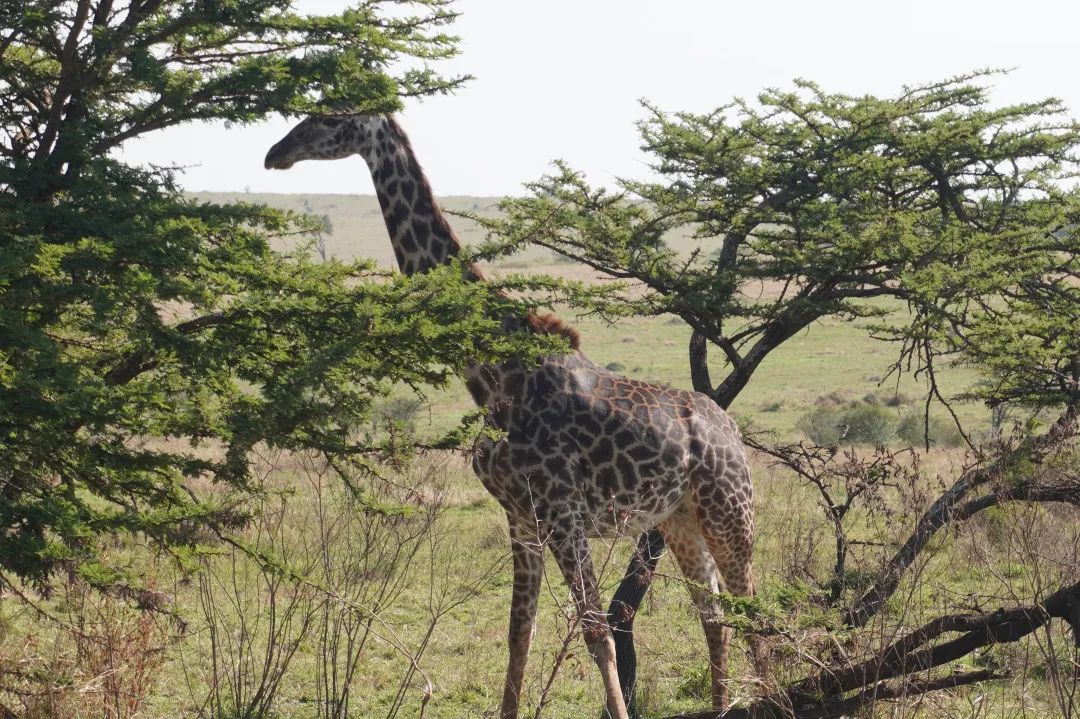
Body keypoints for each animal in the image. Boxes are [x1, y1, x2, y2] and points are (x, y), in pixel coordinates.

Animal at [264, 112, 764, 716]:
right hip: (679, 520)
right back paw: (721, 704)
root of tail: (731, 431)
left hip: (729, 512)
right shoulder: (520, 518)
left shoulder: (562, 512)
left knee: (756, 612)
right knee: (715, 615)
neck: (493, 377)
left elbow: (596, 632)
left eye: (329, 117)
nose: (275, 154)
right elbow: (518, 633)